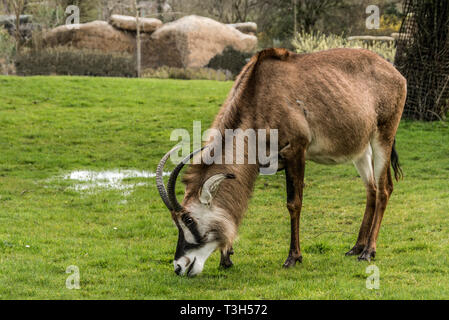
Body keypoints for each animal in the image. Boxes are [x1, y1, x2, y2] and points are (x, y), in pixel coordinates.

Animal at [156, 48, 404, 278]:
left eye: (189, 219)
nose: (179, 266)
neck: (258, 95)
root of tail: (395, 73)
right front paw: (226, 257)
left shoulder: (296, 151)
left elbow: (294, 204)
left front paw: (293, 257)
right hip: (361, 149)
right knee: (372, 190)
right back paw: (357, 247)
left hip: (383, 136)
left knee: (384, 190)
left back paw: (368, 251)